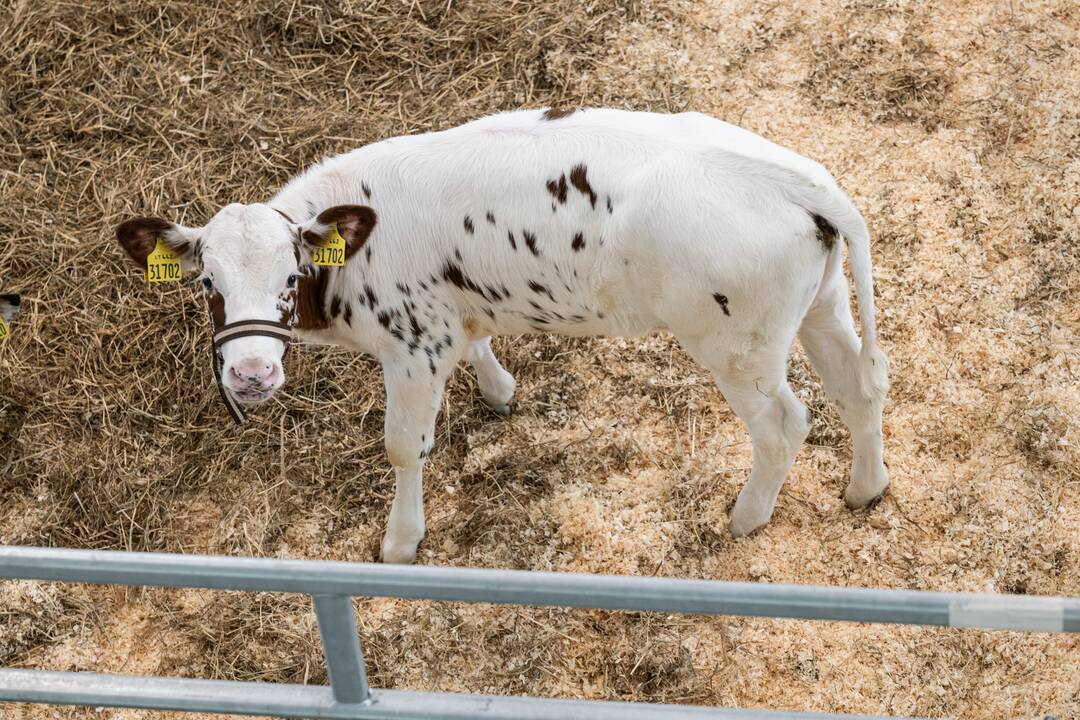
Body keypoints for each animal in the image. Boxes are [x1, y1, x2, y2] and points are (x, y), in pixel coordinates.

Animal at [118, 110, 889, 565]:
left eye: (290, 275)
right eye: (207, 282)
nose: (250, 374)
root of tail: (796, 177)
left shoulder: (412, 345)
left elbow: (404, 448)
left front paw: (400, 542)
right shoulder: (453, 314)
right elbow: (480, 348)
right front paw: (499, 390)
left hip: (735, 344)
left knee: (785, 424)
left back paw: (747, 517)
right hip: (820, 307)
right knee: (859, 388)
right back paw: (866, 489)